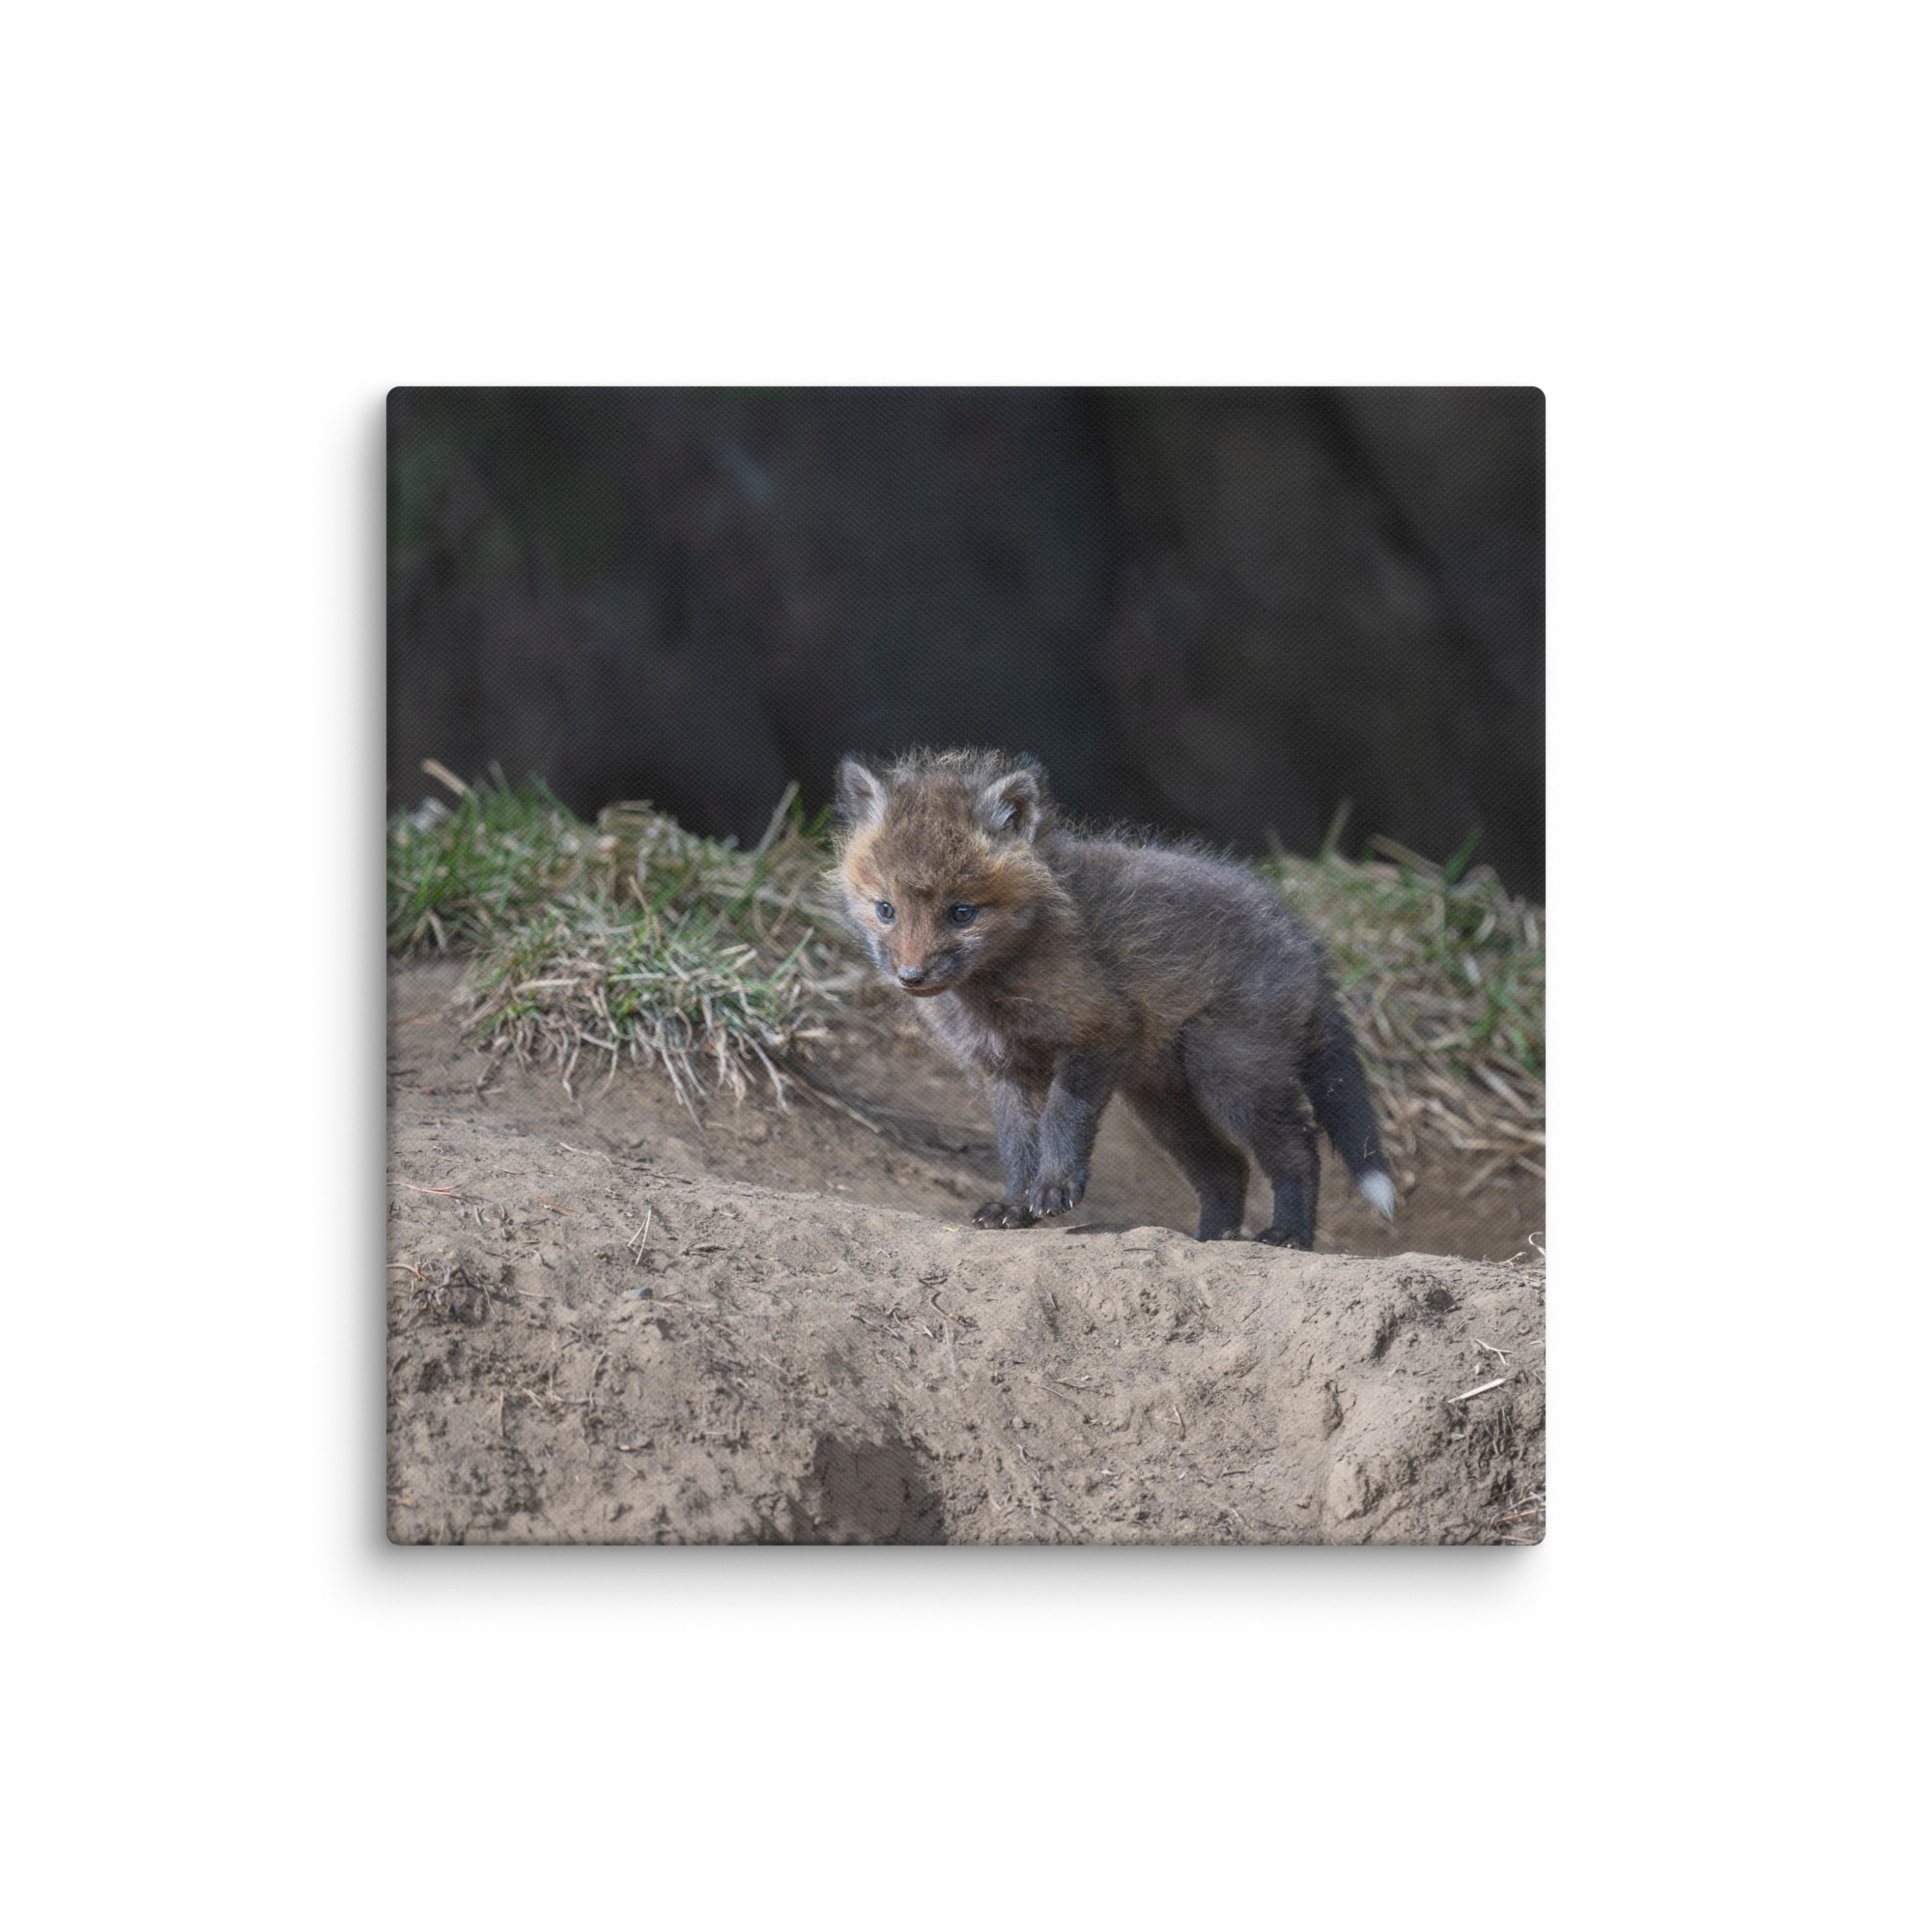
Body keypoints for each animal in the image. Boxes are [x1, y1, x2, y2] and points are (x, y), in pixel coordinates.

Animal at [831, 747, 1396, 1249]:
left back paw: (1288, 1235)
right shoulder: (1003, 1067)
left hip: (1230, 1074)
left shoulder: (1099, 1031)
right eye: (885, 910)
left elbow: (1062, 1119)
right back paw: (1211, 1240)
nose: (911, 976)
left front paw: (1055, 1188)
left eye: (962, 913)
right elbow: (1017, 1145)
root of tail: (1304, 940)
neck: (996, 992)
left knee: (1299, 1150)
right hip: (1163, 1102)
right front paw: (1015, 1205)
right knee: (1227, 1168)